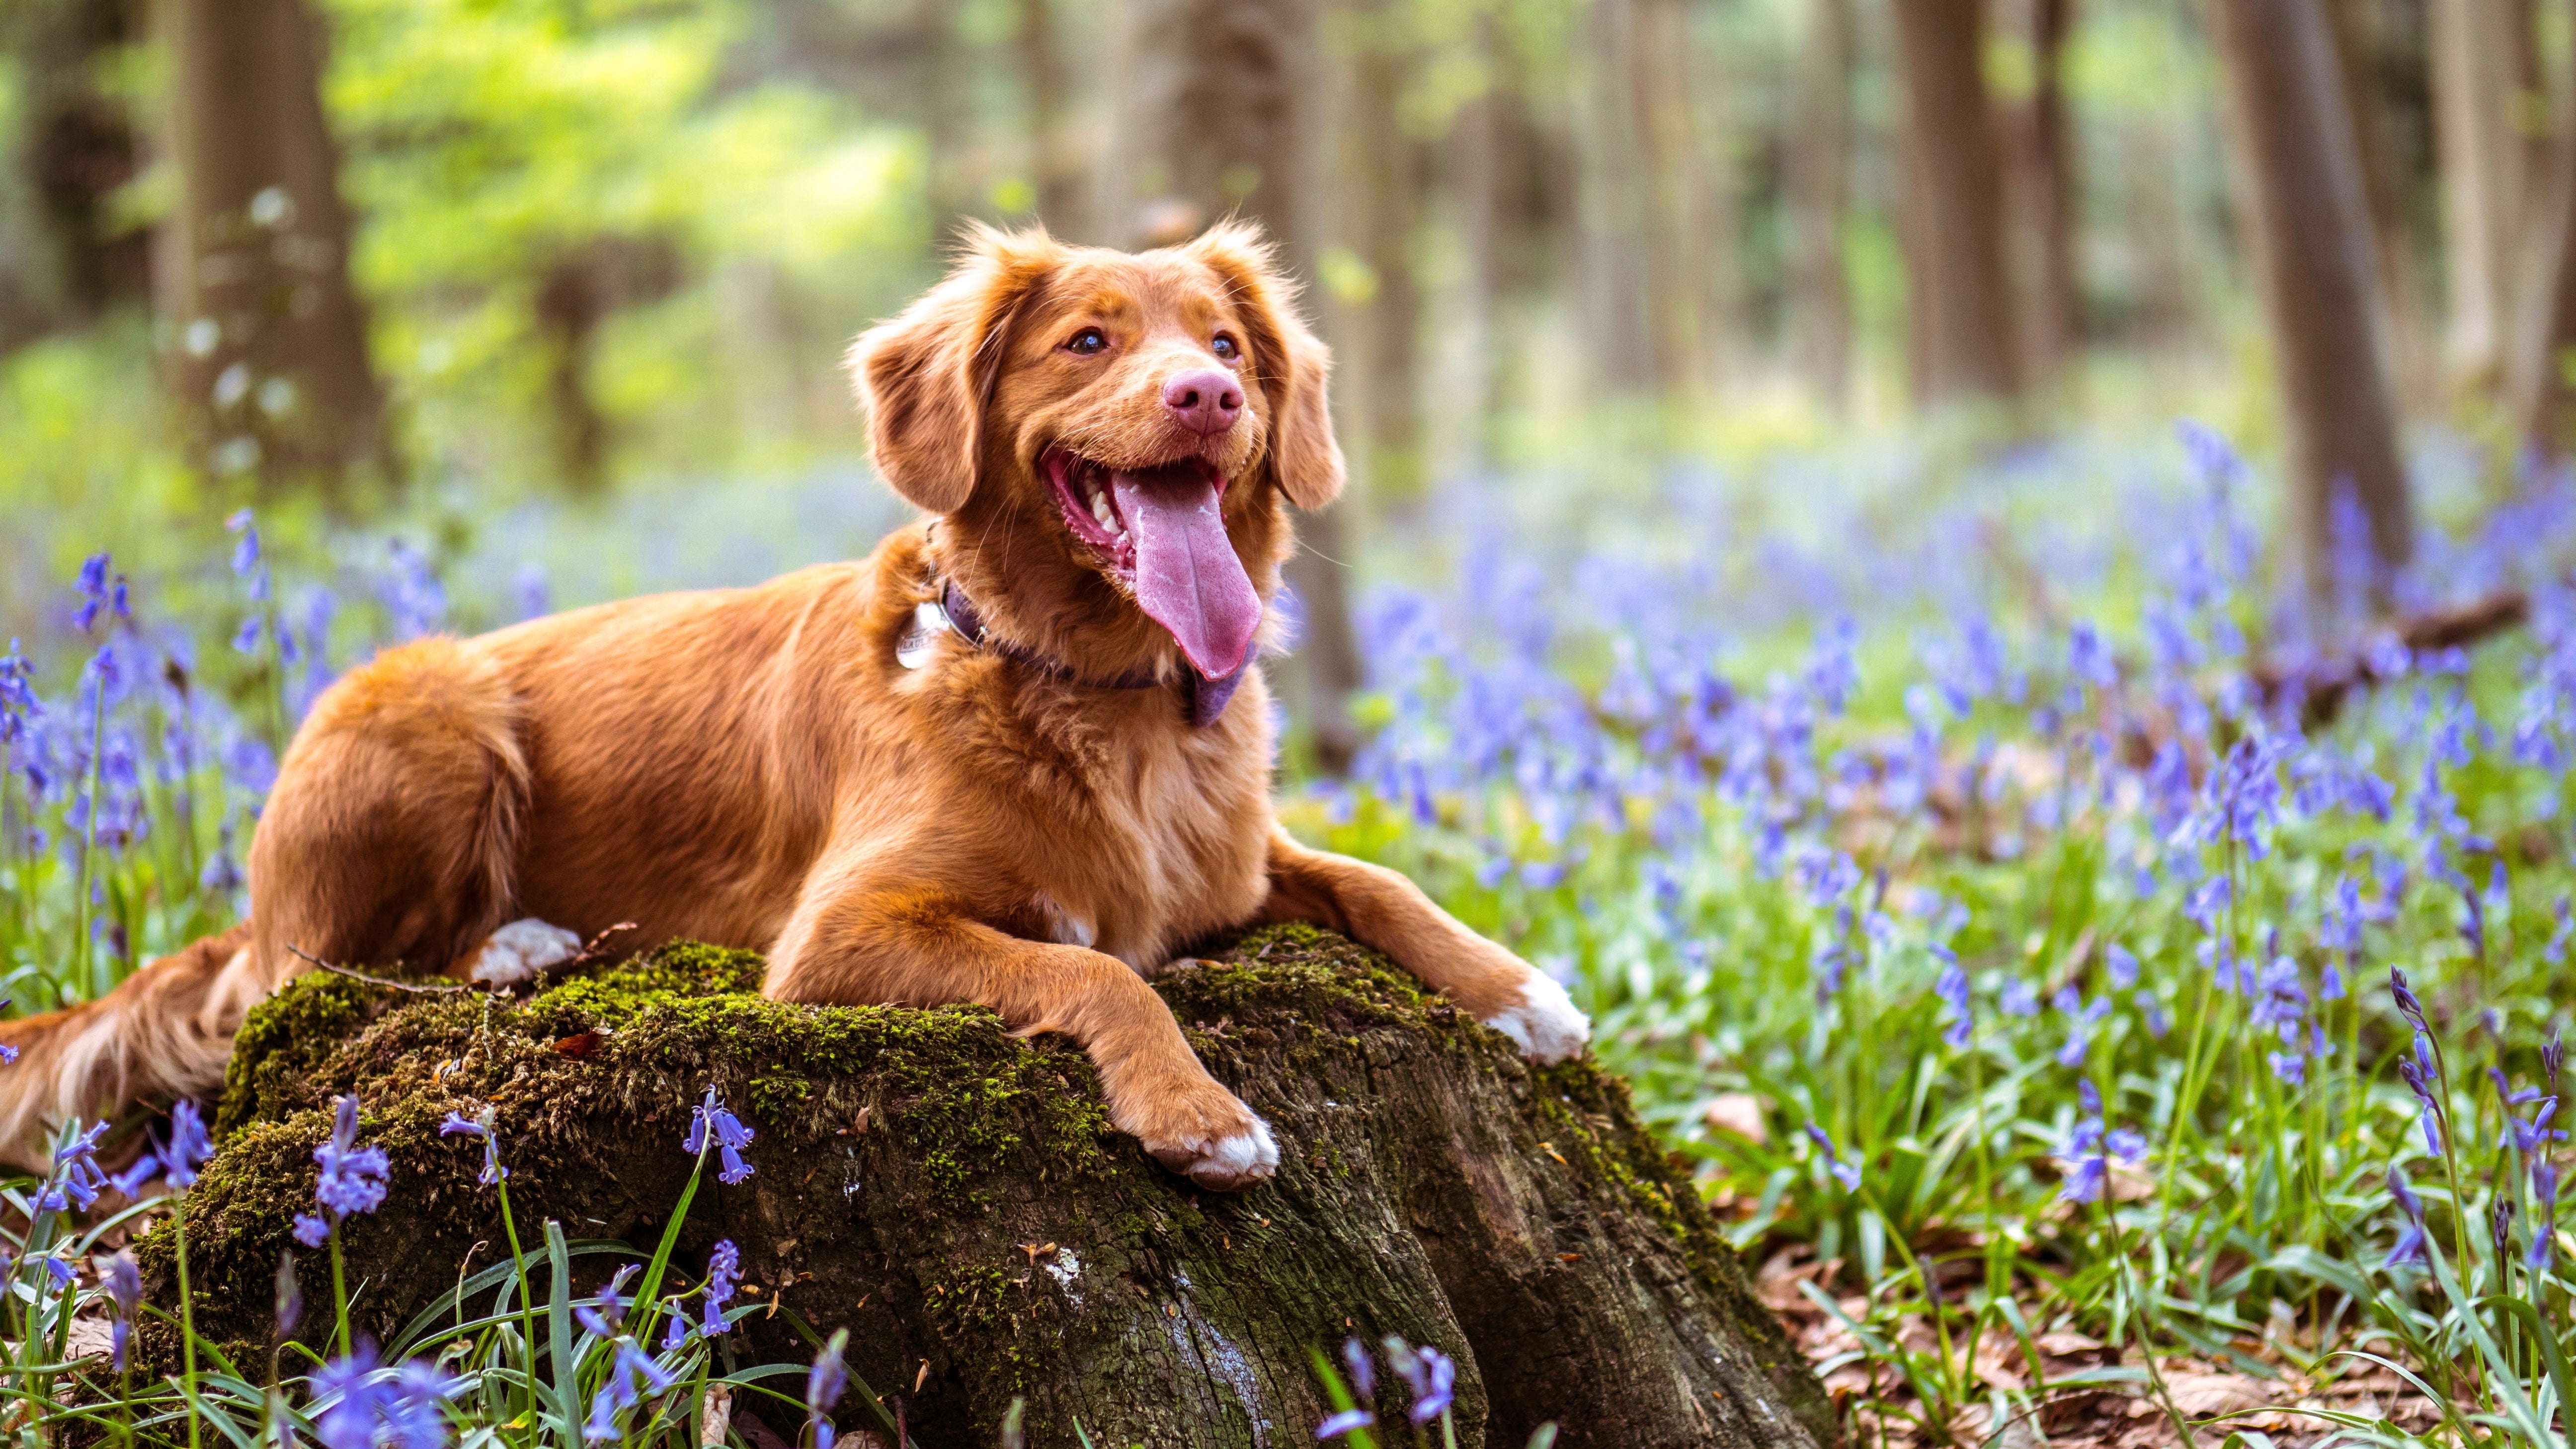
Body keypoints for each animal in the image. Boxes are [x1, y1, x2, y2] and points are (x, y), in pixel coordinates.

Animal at [0, 216, 1587, 1186]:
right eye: (1088, 341)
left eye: (1228, 345)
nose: (1210, 398)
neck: (1095, 693)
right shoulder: (839, 935)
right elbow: (1101, 970)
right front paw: (1199, 1114)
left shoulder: (1236, 865)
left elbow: (1376, 879)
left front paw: (1518, 989)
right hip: (429, 706)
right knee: (313, 974)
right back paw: (513, 944)